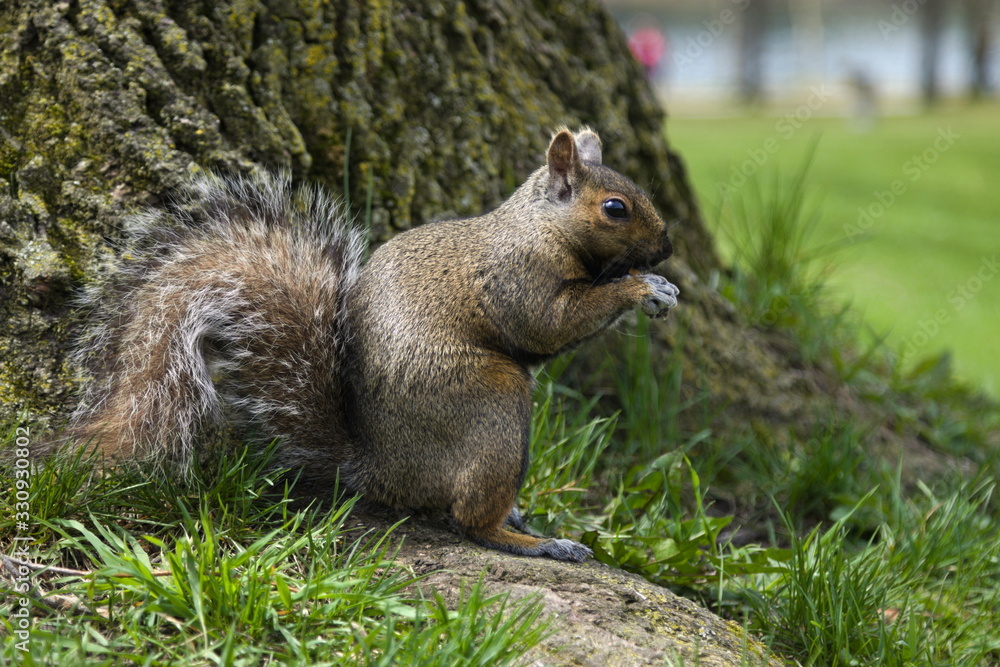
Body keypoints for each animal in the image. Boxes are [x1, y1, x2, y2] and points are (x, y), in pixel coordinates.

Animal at [56, 128, 680, 560]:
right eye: (615, 208)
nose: (667, 249)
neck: (539, 227)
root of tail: (380, 470)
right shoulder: (517, 277)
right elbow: (548, 323)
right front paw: (641, 287)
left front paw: (660, 288)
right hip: (494, 404)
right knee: (468, 519)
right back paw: (533, 539)